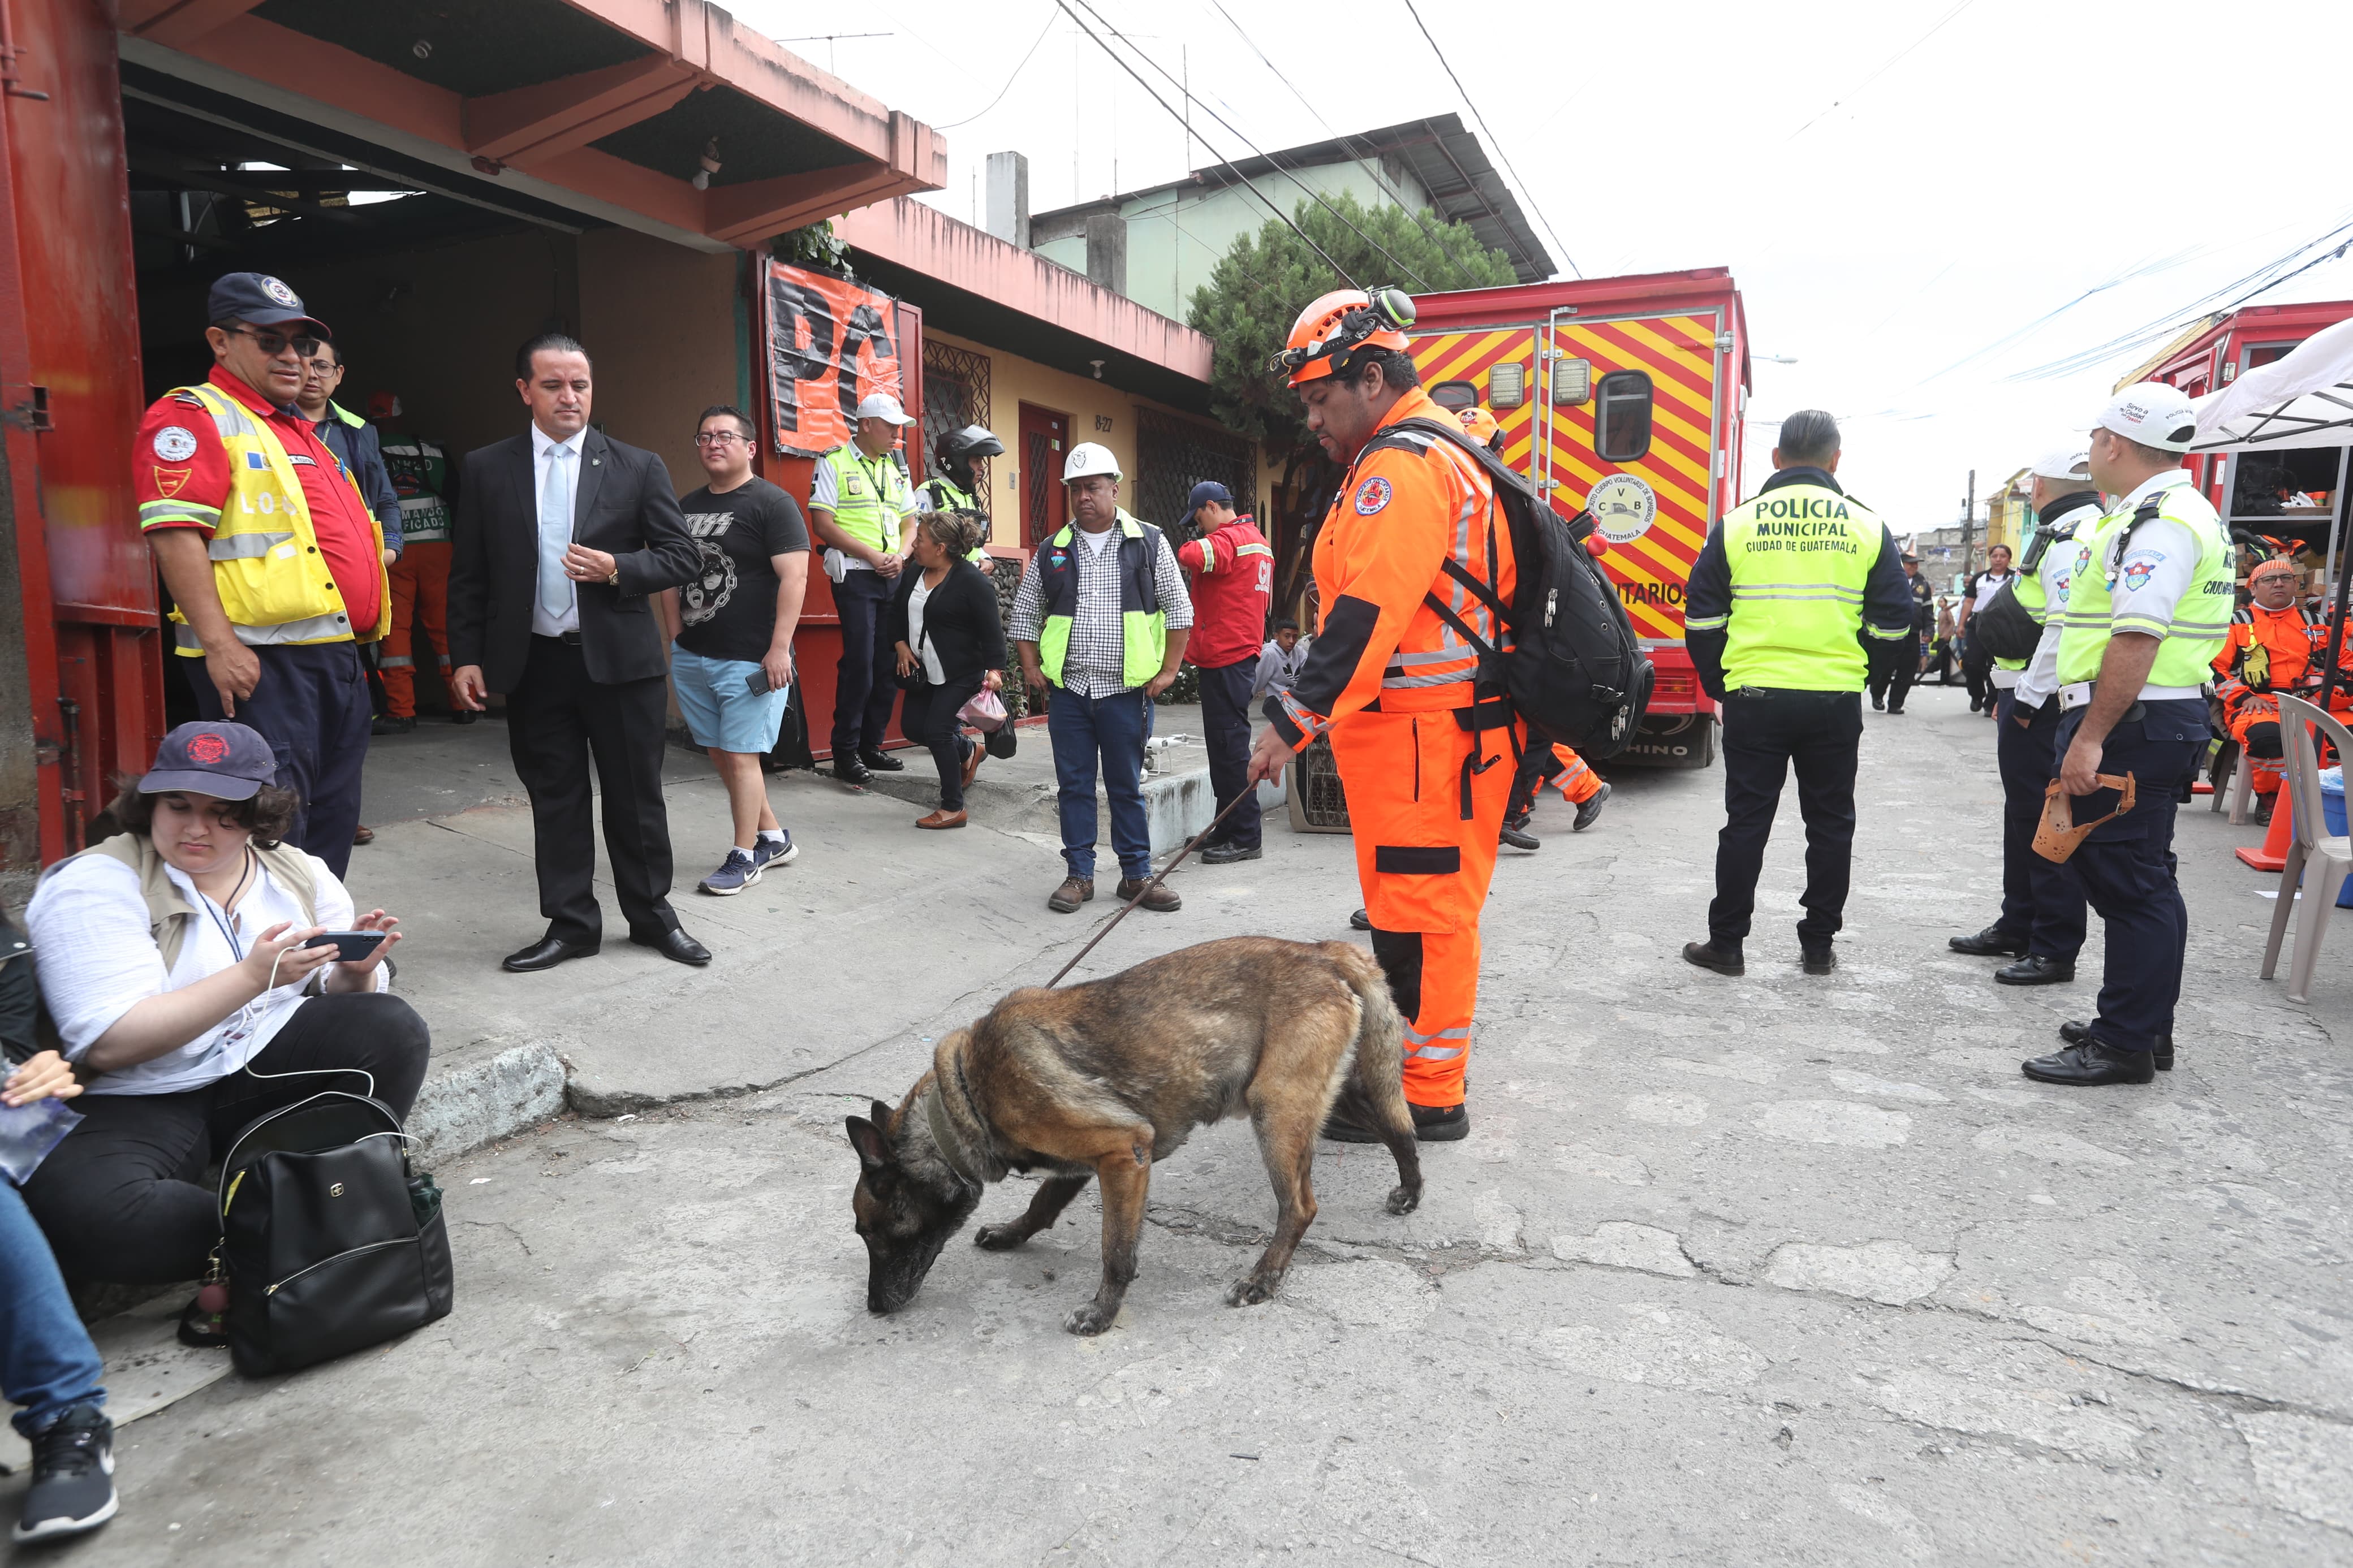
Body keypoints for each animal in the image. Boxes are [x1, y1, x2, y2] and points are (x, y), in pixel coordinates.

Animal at [856, 940, 1421, 1335]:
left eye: (872, 1232)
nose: (873, 1306)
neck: (966, 1095)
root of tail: (1321, 950)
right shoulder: (1083, 1165)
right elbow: (1041, 1205)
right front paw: (1012, 1232)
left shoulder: (1123, 1153)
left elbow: (1116, 1251)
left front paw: (1102, 1313)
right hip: (1320, 1099)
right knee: (1400, 1128)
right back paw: (1411, 1190)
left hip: (1276, 1113)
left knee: (1300, 1206)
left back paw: (1262, 1278)